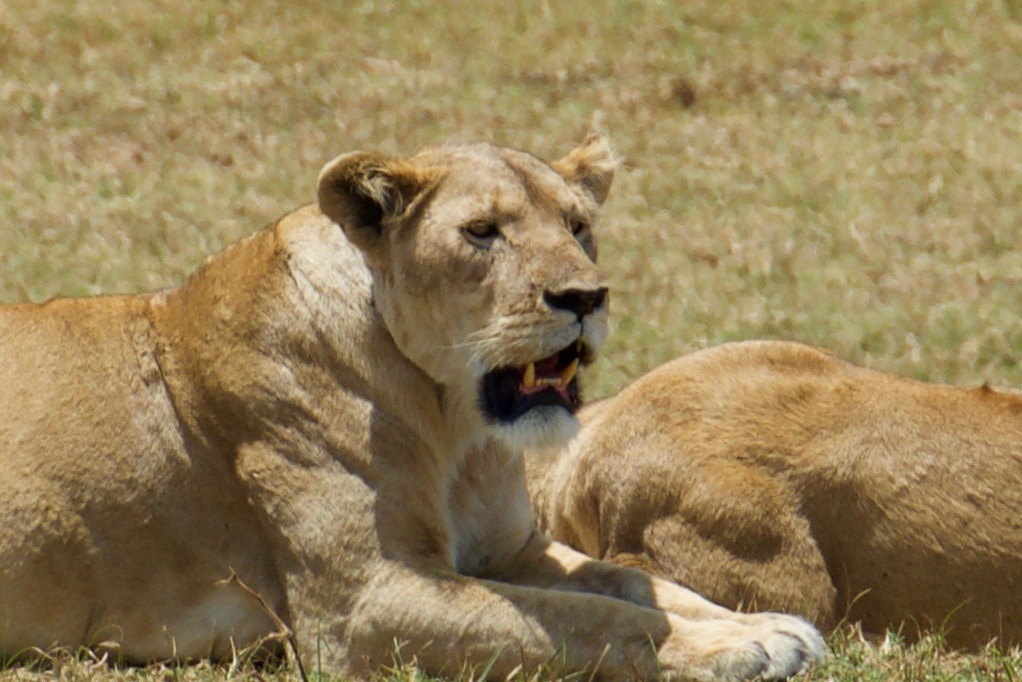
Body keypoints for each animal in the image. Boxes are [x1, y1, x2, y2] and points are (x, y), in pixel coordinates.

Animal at [0, 139, 824, 680]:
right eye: (482, 232)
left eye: (578, 226)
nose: (585, 298)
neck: (459, 423)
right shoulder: (364, 605)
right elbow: (595, 620)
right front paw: (728, 649)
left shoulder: (514, 551)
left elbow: (634, 584)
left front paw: (763, 625)